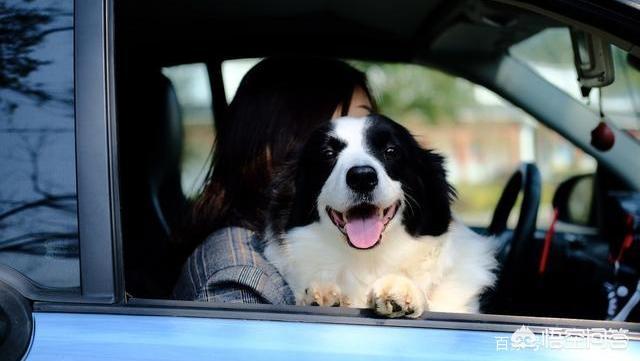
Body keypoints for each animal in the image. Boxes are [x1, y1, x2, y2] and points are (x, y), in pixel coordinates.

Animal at [262, 114, 498, 316]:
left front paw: (401, 288)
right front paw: (323, 292)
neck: (368, 261)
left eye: (391, 151)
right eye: (328, 154)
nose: (362, 177)